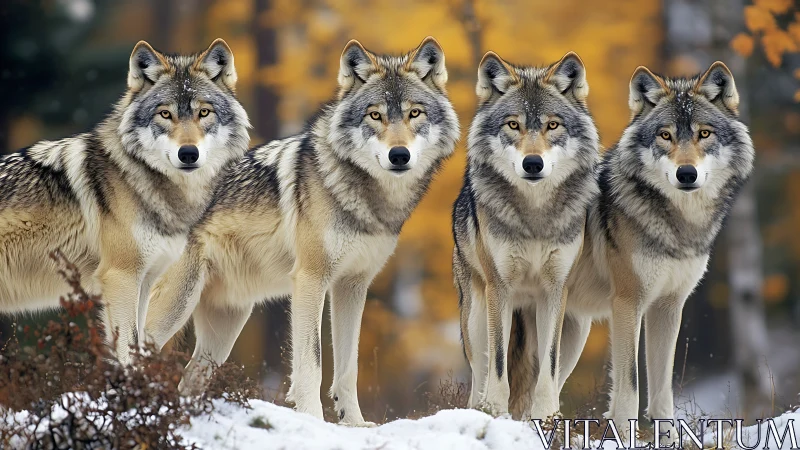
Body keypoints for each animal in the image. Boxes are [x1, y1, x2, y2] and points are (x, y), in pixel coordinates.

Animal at [0, 39, 250, 364]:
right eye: (165, 114)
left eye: (204, 113)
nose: (188, 154)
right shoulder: (120, 278)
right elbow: (129, 350)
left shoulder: (144, 281)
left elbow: (139, 349)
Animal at [144, 37, 459, 425]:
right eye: (375, 115)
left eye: (415, 114)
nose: (398, 155)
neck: (367, 198)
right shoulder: (311, 279)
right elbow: (313, 361)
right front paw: (313, 418)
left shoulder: (352, 286)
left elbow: (348, 366)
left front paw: (354, 422)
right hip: (177, 303)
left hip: (224, 329)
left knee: (187, 381)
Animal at [452, 51, 599, 420]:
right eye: (513, 125)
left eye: (552, 125)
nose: (533, 163)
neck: (534, 217)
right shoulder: (499, 289)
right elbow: (499, 362)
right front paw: (496, 411)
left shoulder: (555, 291)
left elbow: (548, 365)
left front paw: (545, 417)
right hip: (475, 317)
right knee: (479, 375)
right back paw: (482, 409)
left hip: (577, 330)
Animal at [561, 62, 754, 442]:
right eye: (665, 136)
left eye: (704, 134)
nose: (686, 173)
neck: (677, 224)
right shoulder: (627, 304)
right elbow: (630, 386)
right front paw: (623, 436)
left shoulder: (668, 306)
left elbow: (662, 388)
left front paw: (670, 440)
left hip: (573, 337)